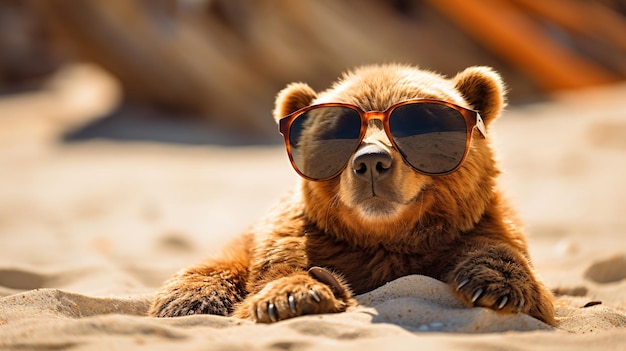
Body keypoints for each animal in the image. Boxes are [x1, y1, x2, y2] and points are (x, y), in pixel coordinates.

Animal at [149, 64, 552, 328]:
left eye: (419, 124)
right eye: (338, 131)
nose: (371, 161)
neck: (385, 238)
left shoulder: (478, 225)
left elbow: (502, 256)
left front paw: (497, 285)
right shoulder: (301, 236)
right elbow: (280, 269)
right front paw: (294, 296)